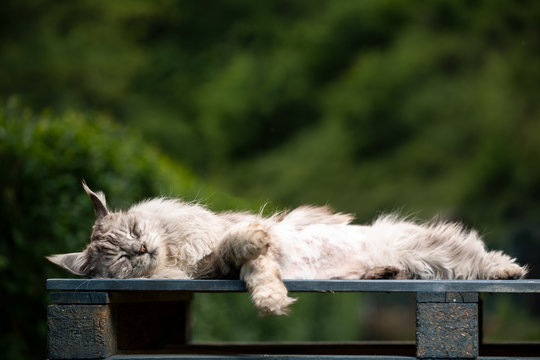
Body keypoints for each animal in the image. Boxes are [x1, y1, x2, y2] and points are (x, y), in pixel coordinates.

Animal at [47, 183, 528, 316]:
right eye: (121, 257)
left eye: (133, 229)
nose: (143, 248)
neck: (175, 258)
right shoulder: (225, 270)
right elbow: (254, 272)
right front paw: (272, 300)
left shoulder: (218, 245)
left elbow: (237, 242)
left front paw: (257, 240)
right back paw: (382, 274)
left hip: (431, 250)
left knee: (476, 255)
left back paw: (509, 271)